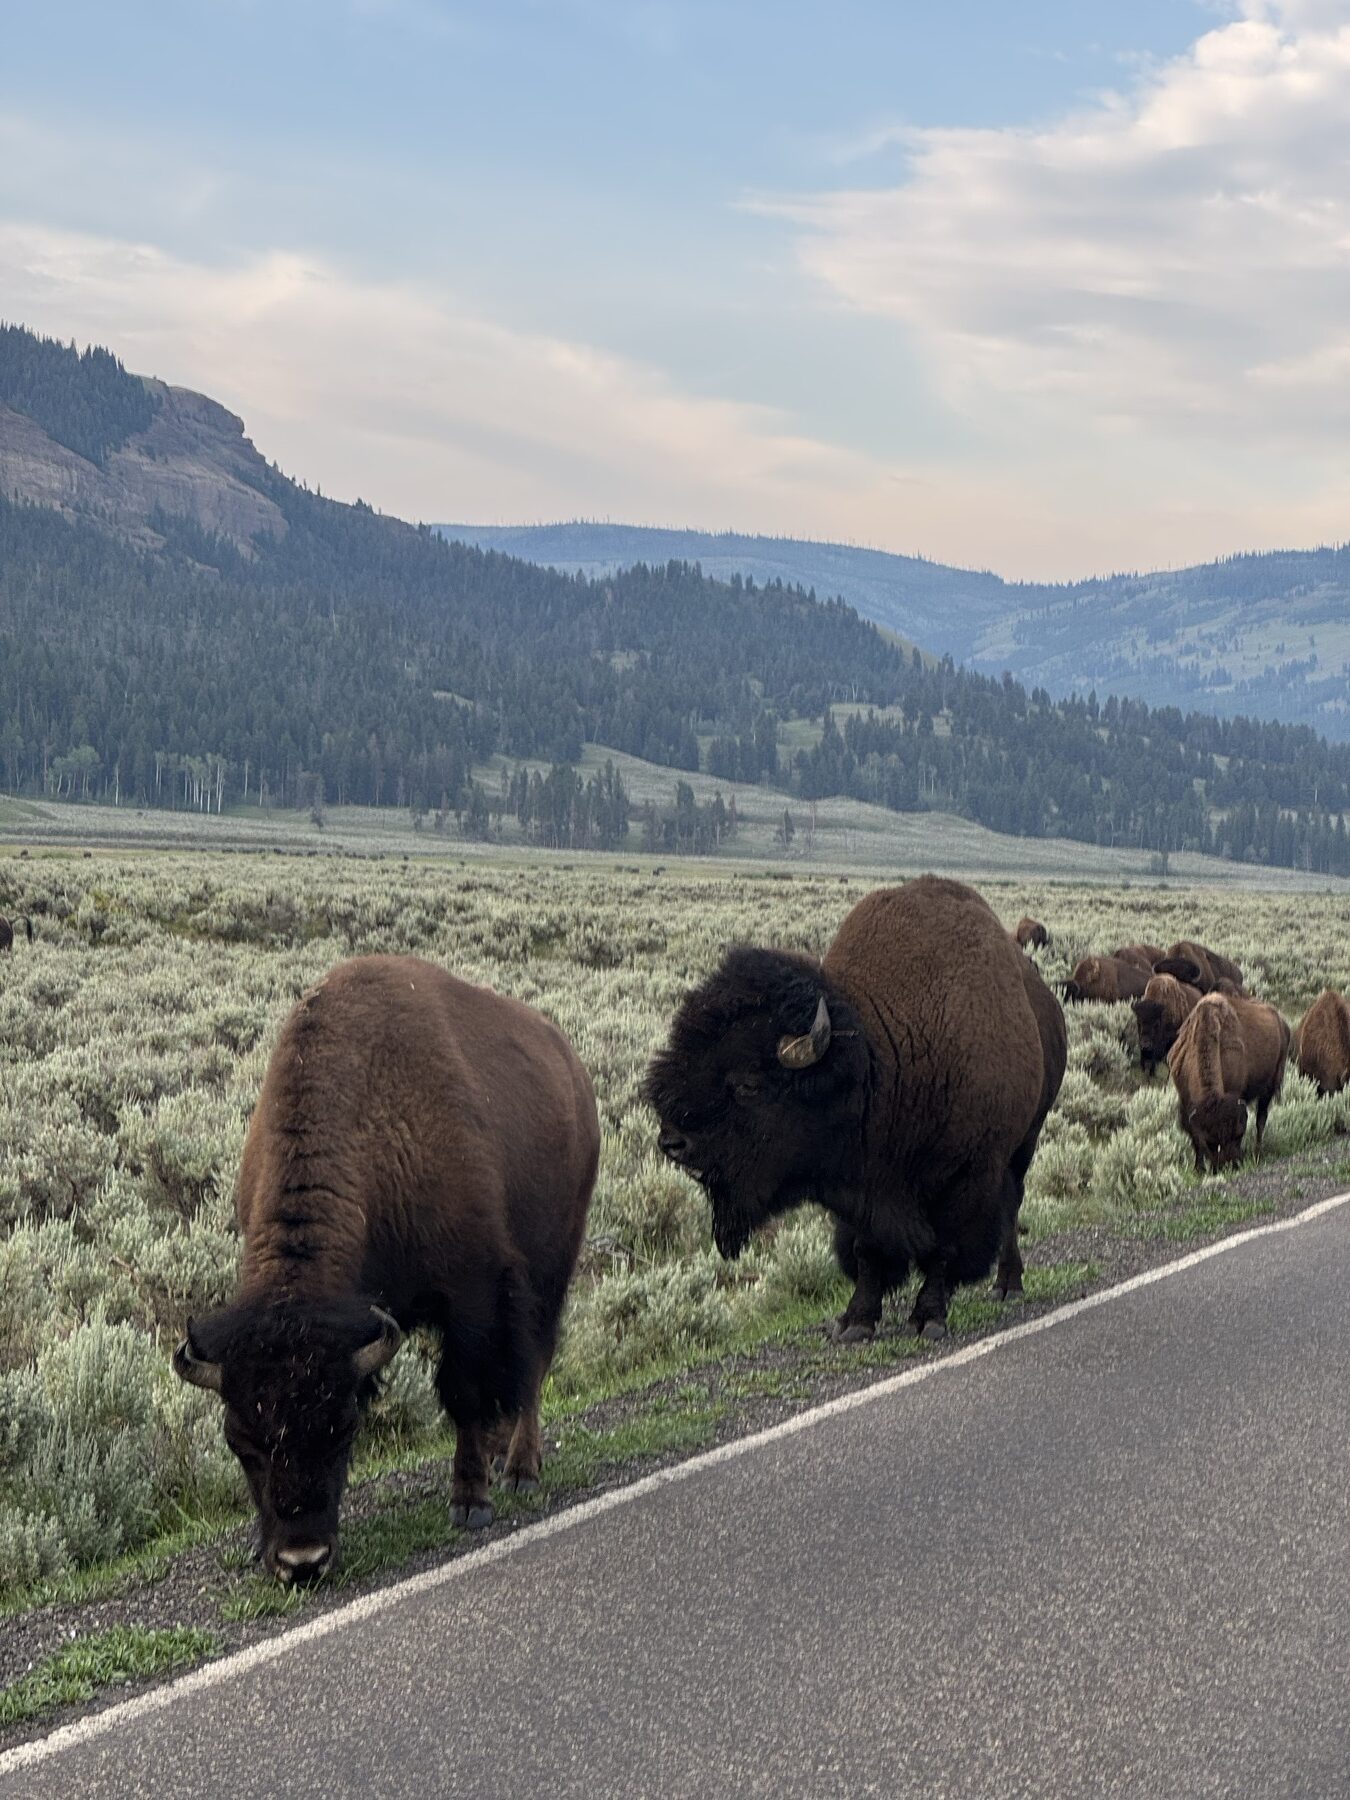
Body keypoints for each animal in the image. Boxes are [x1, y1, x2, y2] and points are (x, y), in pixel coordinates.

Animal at [174, 955, 599, 1580]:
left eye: (343, 1428)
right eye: (239, 1442)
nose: (302, 1560)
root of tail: (573, 1071)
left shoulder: (471, 1293)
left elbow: (464, 1391)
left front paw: (469, 1502)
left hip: (552, 1267)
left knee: (534, 1363)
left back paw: (520, 1468)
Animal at [645, 876, 1066, 1342]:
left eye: (748, 1084)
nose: (672, 1142)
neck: (880, 1060)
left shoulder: (967, 1176)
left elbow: (944, 1248)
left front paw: (929, 1318)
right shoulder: (862, 1186)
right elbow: (868, 1251)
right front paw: (855, 1321)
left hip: (1027, 1139)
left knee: (1012, 1205)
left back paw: (1008, 1284)